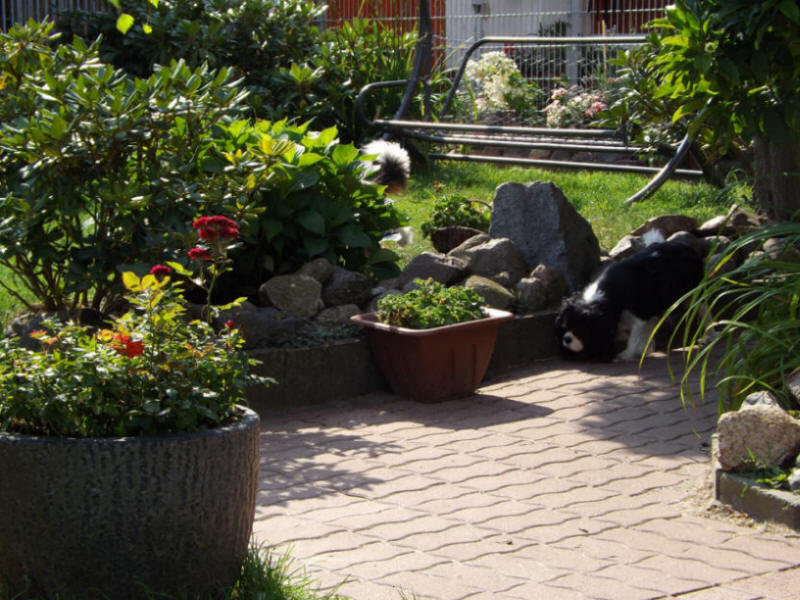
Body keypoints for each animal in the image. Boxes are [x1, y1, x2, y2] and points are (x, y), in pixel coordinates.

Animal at [555, 236, 705, 362]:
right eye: (564, 328)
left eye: (580, 331)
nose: (566, 339)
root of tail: (686, 246)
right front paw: (643, 350)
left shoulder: (640, 315)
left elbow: (635, 338)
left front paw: (626, 355)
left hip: (694, 293)